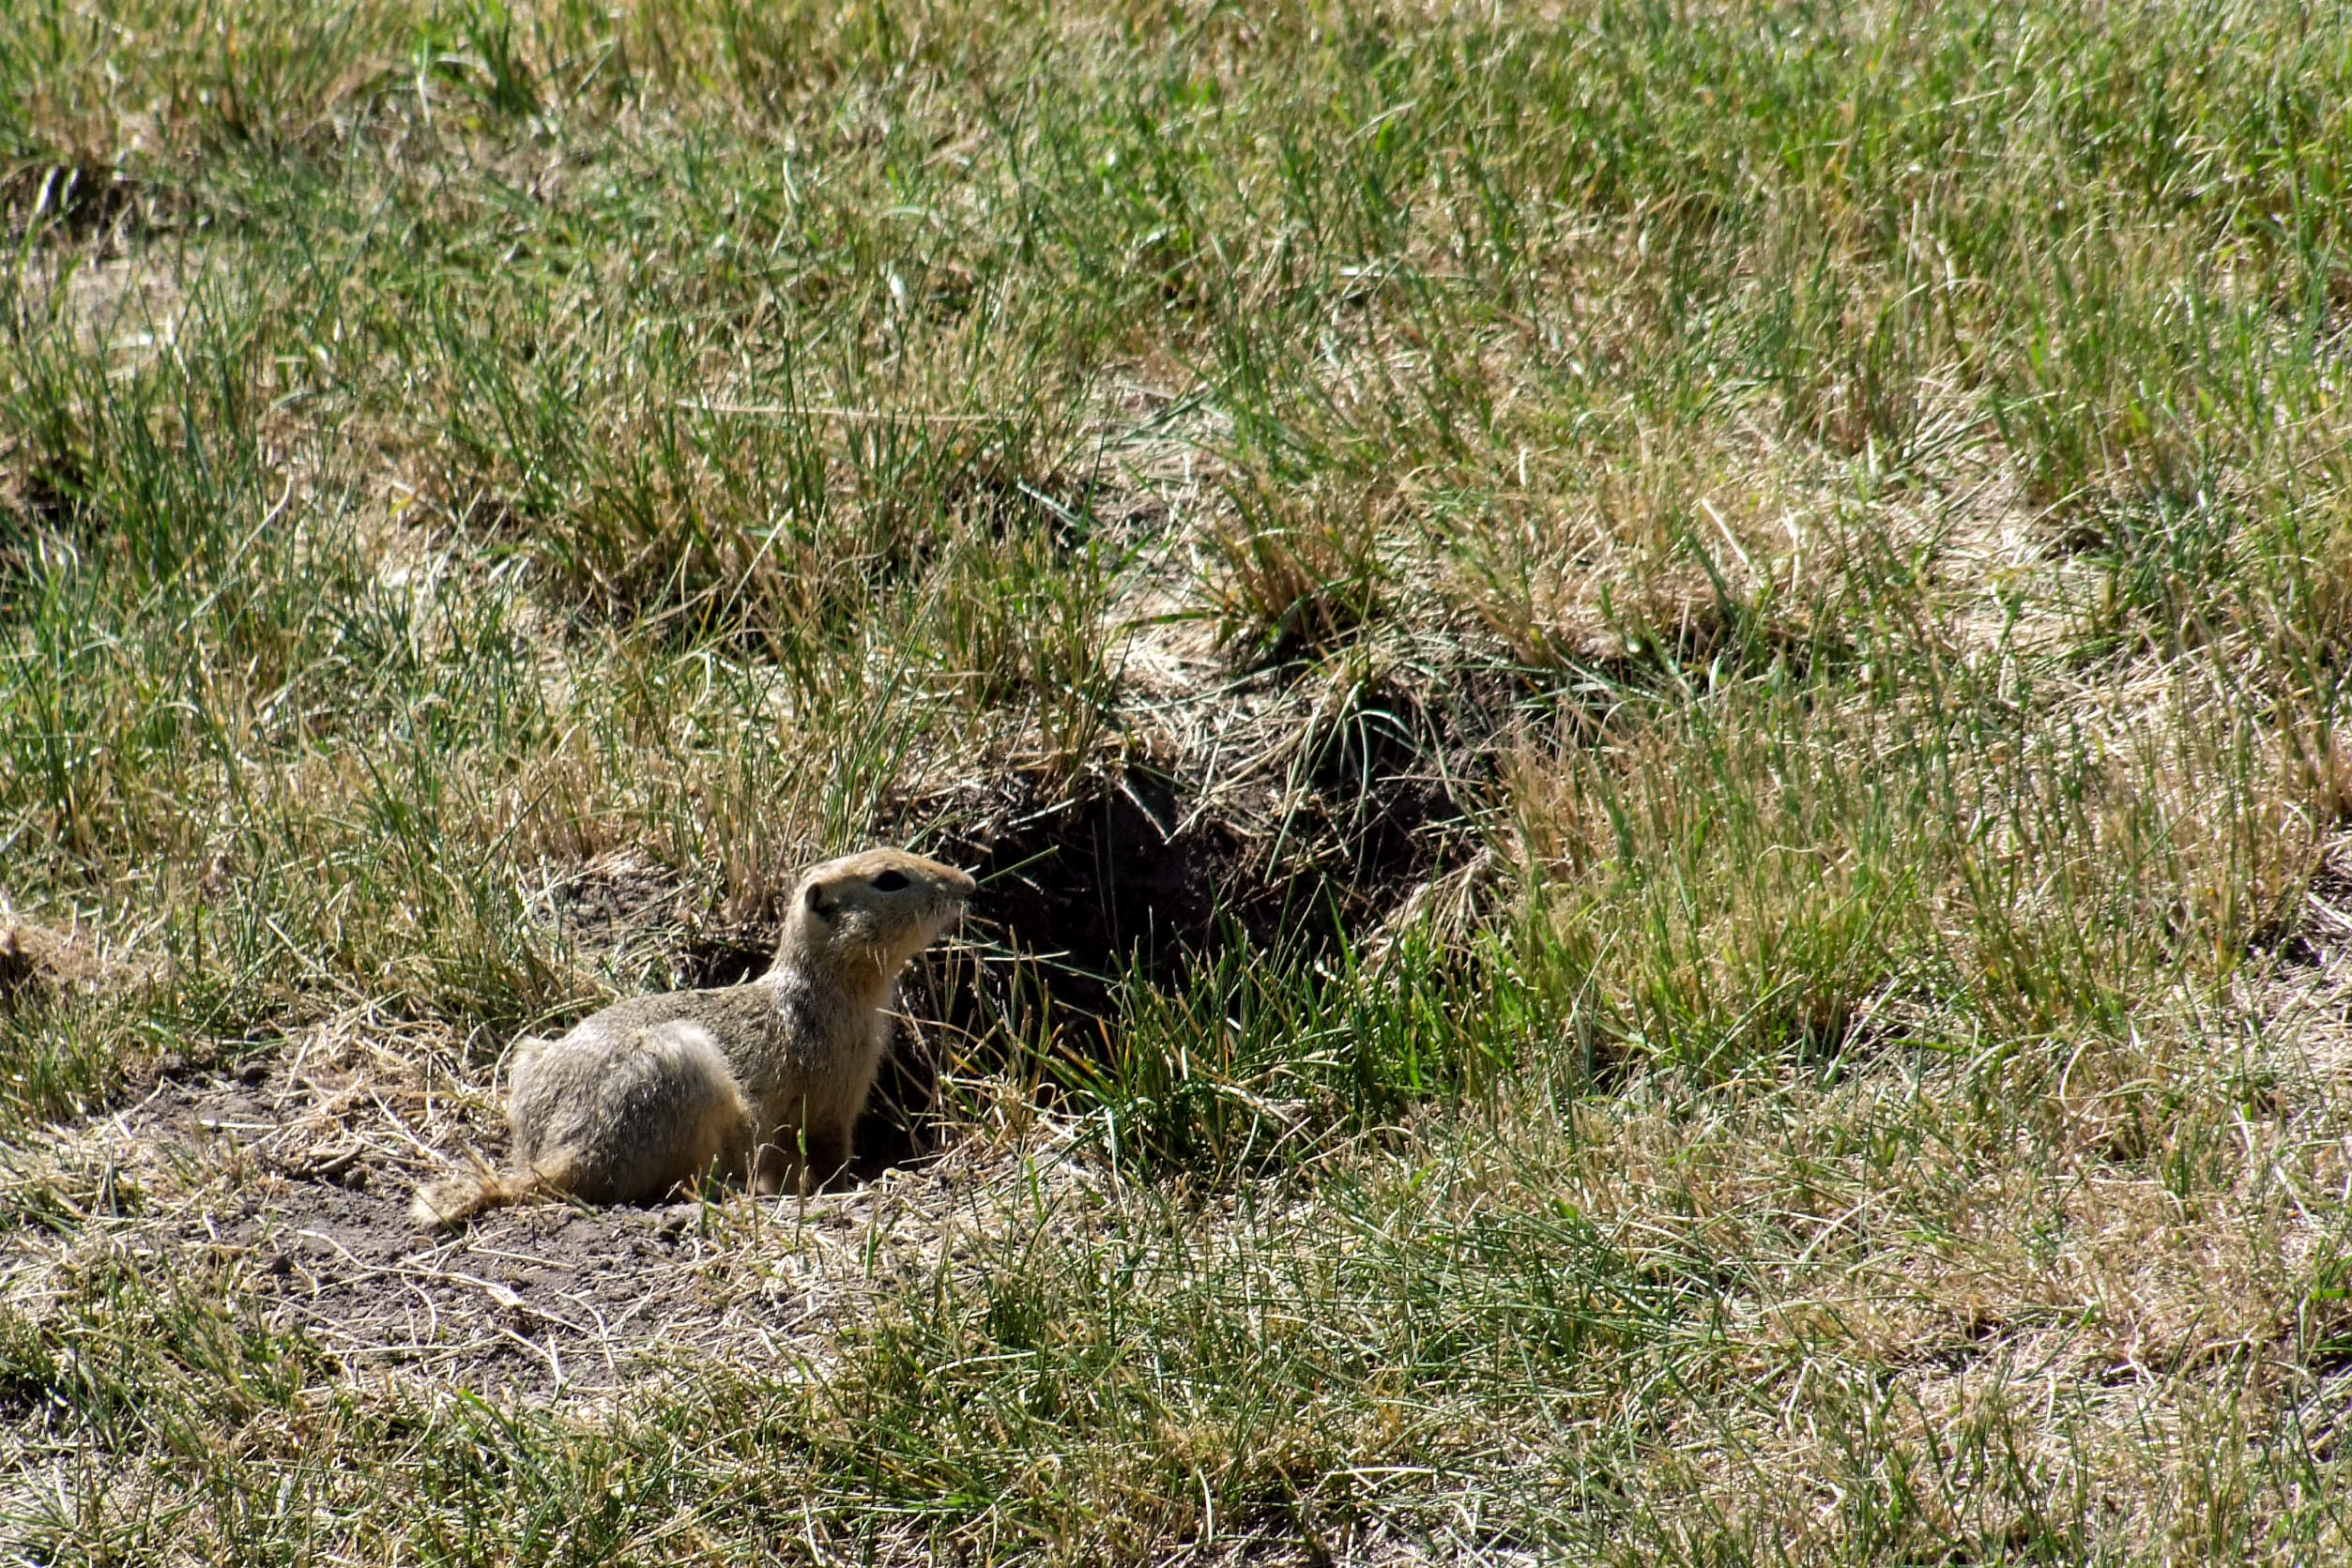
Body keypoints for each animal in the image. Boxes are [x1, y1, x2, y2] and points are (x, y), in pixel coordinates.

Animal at [412, 849, 974, 1226]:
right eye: (889, 879)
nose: (966, 882)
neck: (821, 989)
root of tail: (554, 1158)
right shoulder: (832, 1097)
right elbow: (827, 1154)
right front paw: (850, 1187)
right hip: (688, 1070)